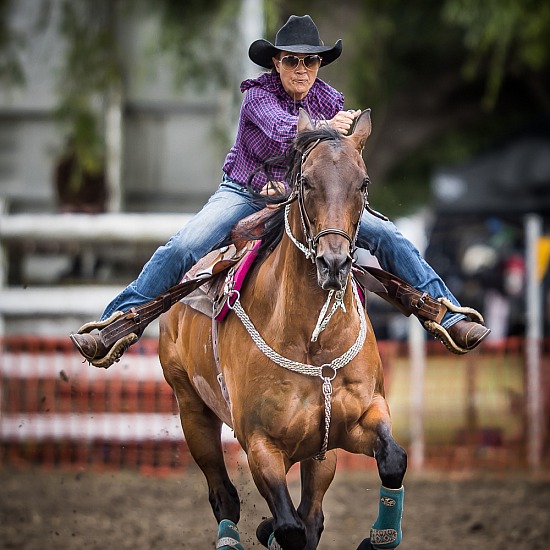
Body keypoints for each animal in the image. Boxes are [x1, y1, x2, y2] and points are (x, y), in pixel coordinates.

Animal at [157, 110, 408, 548]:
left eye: (363, 183)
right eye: (305, 181)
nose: (333, 263)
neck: (313, 341)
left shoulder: (358, 418)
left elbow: (393, 459)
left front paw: (380, 537)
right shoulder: (261, 444)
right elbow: (289, 527)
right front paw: (271, 528)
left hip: (319, 451)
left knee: (312, 512)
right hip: (192, 409)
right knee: (224, 494)